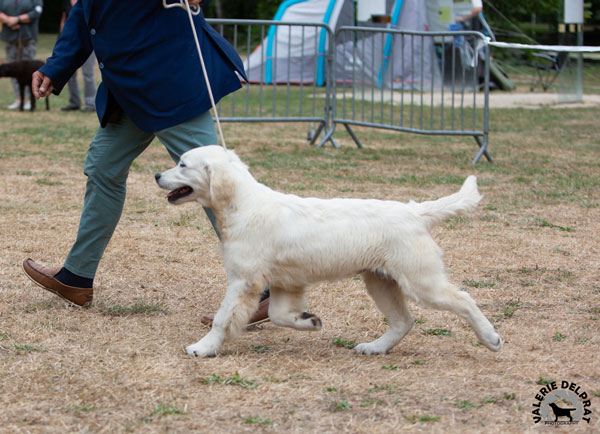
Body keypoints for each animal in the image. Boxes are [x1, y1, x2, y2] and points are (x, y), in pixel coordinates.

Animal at [156, 146, 502, 356]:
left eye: (182, 164)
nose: (157, 175)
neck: (244, 205)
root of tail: (414, 211)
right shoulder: (285, 283)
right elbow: (278, 315)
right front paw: (309, 321)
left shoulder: (243, 280)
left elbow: (222, 318)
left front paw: (203, 348)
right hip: (380, 280)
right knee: (404, 321)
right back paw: (375, 347)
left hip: (420, 280)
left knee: (464, 299)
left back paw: (491, 338)